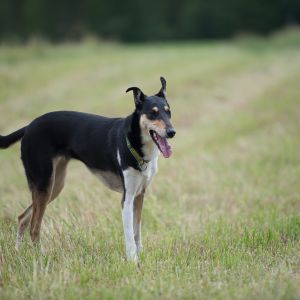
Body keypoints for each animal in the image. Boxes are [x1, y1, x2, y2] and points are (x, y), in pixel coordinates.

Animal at [0, 76, 175, 262]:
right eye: (153, 113)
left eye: (168, 111)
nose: (172, 132)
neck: (137, 143)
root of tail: (28, 127)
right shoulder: (127, 199)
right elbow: (129, 236)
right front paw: (132, 261)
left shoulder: (139, 194)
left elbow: (137, 233)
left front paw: (139, 257)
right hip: (44, 183)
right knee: (34, 226)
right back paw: (40, 258)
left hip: (54, 186)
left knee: (22, 218)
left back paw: (18, 253)